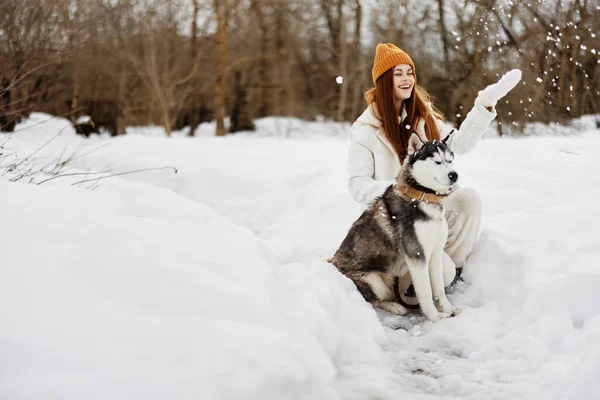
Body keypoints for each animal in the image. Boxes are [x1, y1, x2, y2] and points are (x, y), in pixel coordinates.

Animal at [332, 133, 460, 320]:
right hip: (372, 280)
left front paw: (448, 308)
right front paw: (435, 317)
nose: (454, 175)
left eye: (450, 160)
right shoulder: (417, 256)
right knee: (374, 302)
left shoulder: (435, 253)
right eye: (437, 162)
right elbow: (426, 293)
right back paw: (394, 307)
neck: (422, 196)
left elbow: (438, 289)